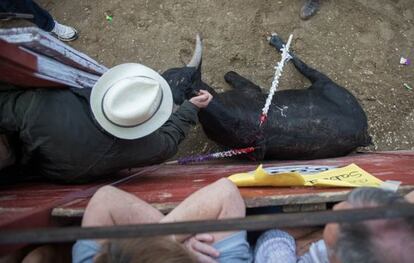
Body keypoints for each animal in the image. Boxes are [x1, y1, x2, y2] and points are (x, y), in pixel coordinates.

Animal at [162, 35, 372, 161]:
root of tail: (364, 130)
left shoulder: (250, 88)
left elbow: (232, 75)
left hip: (323, 81)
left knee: (300, 63)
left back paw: (277, 40)